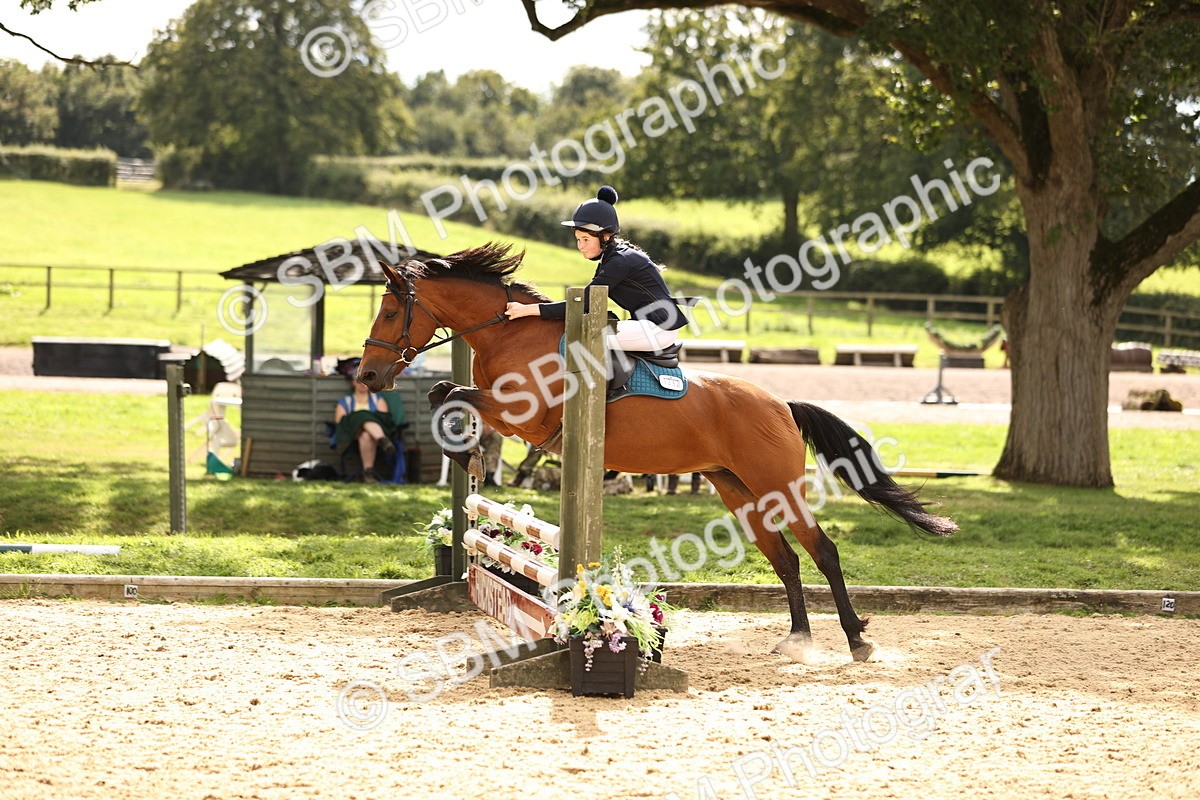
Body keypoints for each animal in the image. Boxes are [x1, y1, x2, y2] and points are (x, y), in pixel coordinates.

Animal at [357, 243, 957, 662]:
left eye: (388, 312)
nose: (366, 376)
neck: (510, 336)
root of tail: (781, 405)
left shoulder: (526, 417)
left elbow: (450, 396)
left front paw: (473, 458)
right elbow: (445, 396)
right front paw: (472, 460)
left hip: (776, 485)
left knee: (823, 550)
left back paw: (857, 640)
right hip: (738, 489)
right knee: (785, 558)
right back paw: (797, 639)